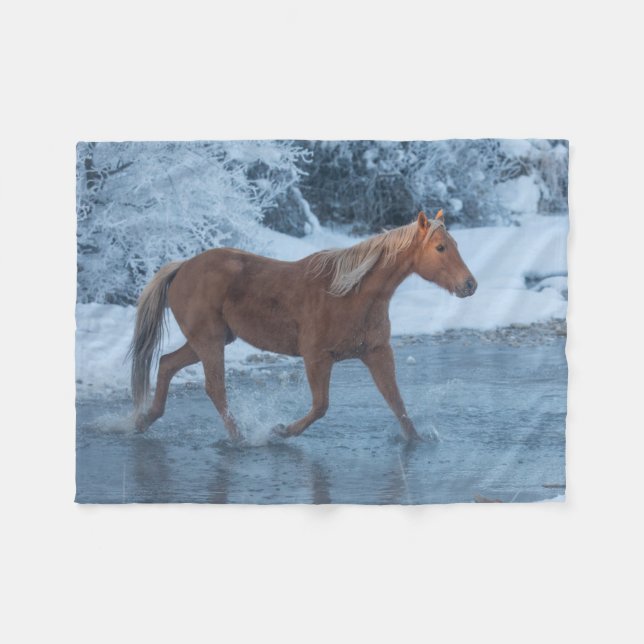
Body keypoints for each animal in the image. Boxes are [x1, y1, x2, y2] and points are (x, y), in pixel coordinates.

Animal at [129, 210, 477, 441]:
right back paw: (241, 439)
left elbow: (397, 402)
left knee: (166, 364)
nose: (470, 285)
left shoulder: (377, 353)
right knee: (215, 387)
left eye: (456, 245)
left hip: (208, 341)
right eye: (440, 247)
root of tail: (182, 267)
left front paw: (416, 440)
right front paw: (282, 430)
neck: (351, 293)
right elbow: (321, 406)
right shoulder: (317, 357)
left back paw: (144, 421)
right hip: (210, 341)